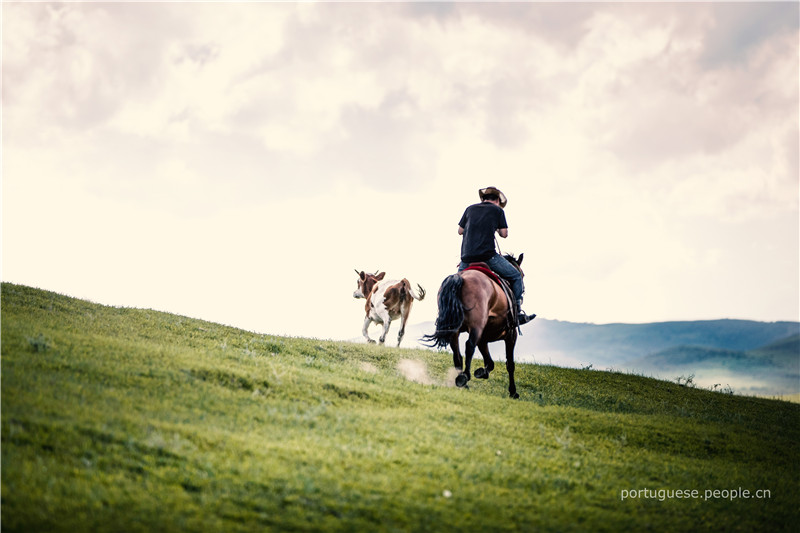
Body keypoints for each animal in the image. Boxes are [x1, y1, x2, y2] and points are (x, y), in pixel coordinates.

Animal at [422, 256, 520, 396]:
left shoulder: (483, 339)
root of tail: (460, 277)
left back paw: (463, 380)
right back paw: (464, 377)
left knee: (456, 352)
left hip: (455, 329)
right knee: (469, 346)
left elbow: (490, 362)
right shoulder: (511, 335)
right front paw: (513, 392)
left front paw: (482, 372)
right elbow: (510, 364)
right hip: (476, 326)